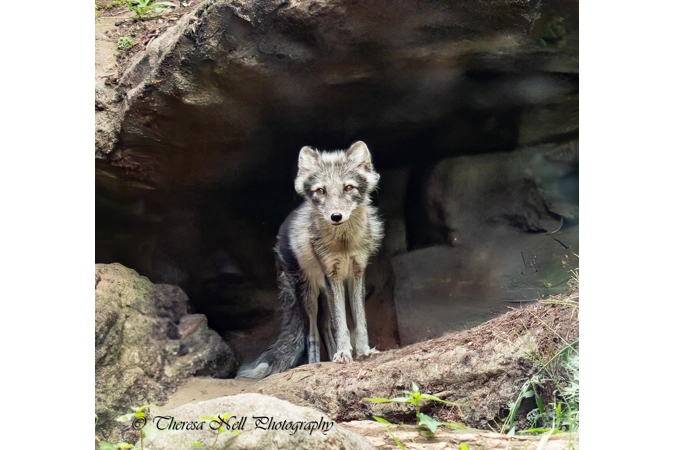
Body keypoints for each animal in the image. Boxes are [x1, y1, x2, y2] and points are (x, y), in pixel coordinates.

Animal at [237, 141, 384, 379]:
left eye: (348, 188)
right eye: (321, 190)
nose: (336, 216)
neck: (344, 244)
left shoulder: (356, 273)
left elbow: (358, 321)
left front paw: (362, 351)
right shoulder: (332, 276)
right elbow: (341, 324)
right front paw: (344, 353)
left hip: (322, 294)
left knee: (325, 327)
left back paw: (331, 356)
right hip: (309, 295)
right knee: (311, 333)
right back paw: (315, 363)